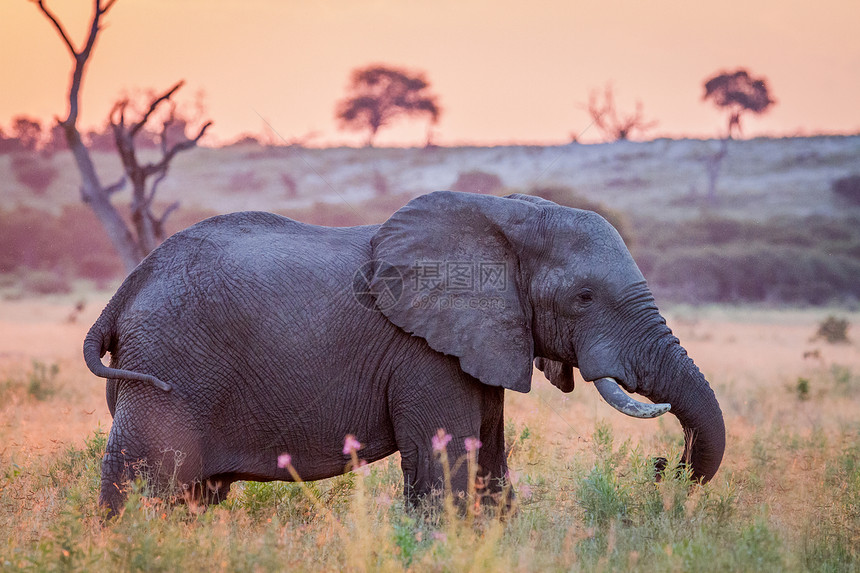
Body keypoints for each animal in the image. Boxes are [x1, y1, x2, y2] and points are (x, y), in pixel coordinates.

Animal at [84, 191, 724, 512]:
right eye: (584, 297)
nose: (662, 465)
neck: (507, 215)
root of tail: (128, 288)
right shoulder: (423, 353)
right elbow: (445, 467)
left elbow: (489, 463)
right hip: (168, 367)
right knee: (141, 478)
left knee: (194, 495)